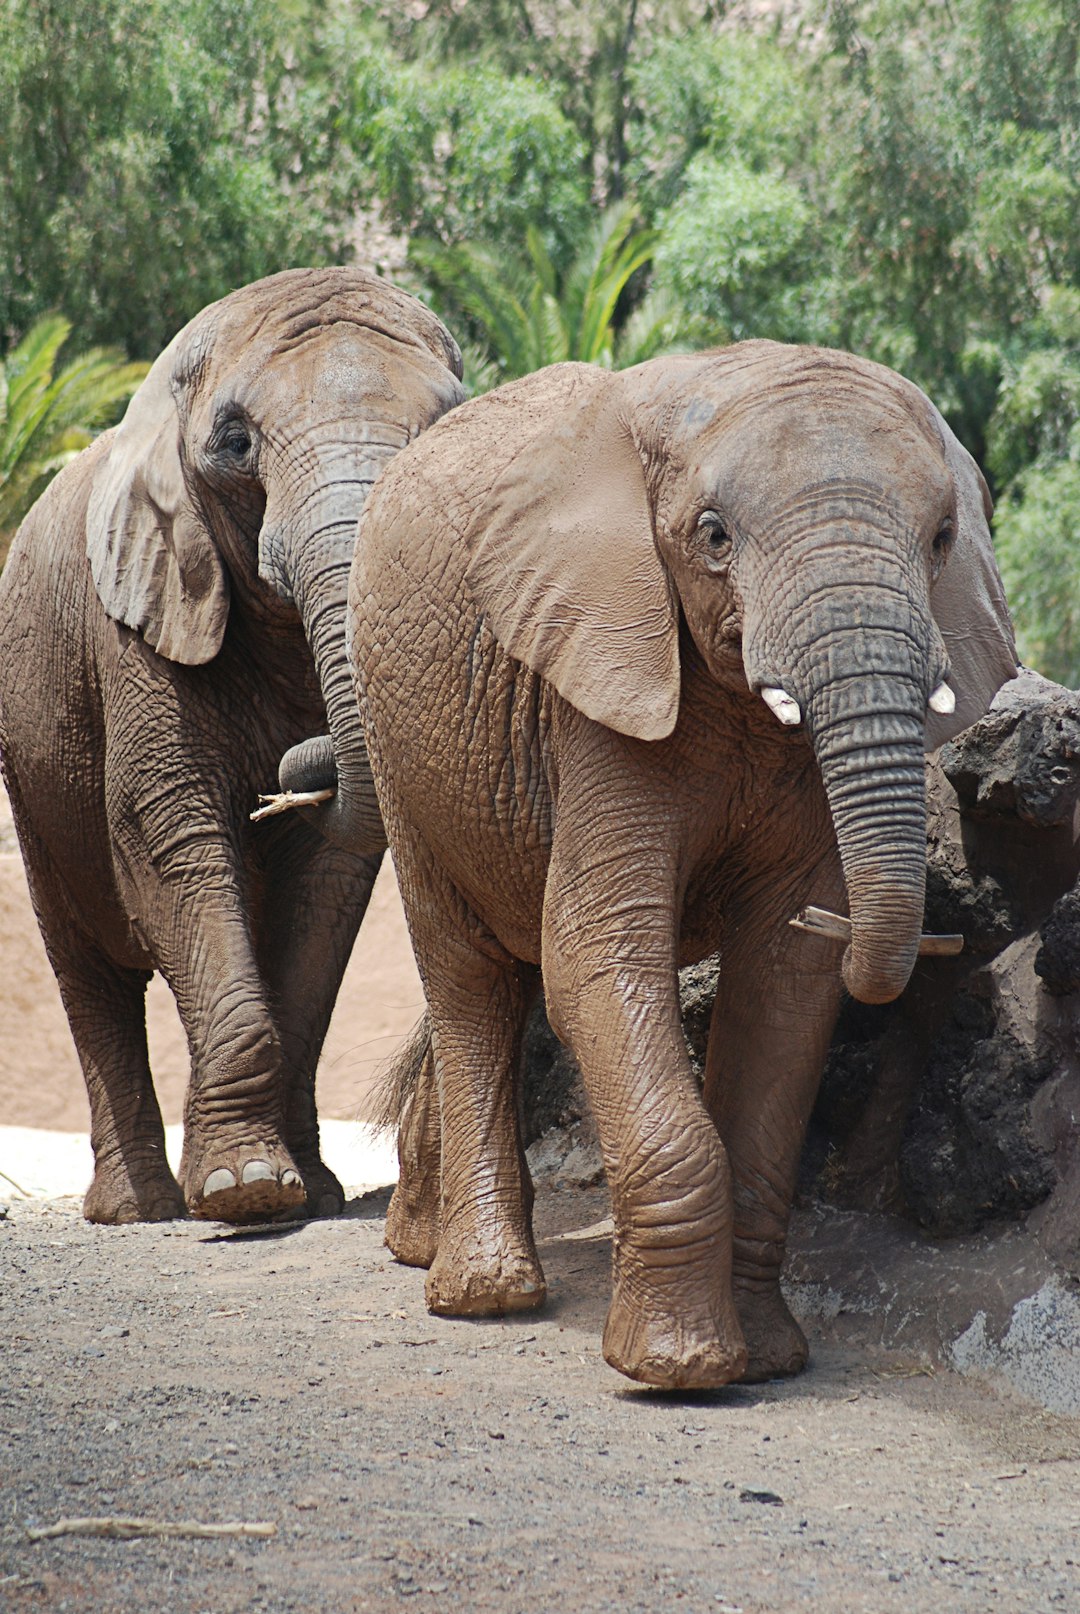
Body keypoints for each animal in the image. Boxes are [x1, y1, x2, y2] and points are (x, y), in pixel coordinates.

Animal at [0, 264, 458, 1220]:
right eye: (236, 443)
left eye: (444, 423)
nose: (294, 771)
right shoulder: (137, 620)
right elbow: (169, 837)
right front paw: (244, 1194)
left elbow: (330, 874)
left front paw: (295, 1194)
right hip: (28, 759)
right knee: (89, 973)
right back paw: (138, 1208)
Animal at [337, 340, 1020, 1388]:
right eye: (713, 536)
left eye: (943, 536)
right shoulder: (596, 681)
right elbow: (597, 956)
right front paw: (678, 1369)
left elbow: (786, 985)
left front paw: (769, 1360)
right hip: (398, 740)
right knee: (468, 974)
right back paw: (486, 1294)